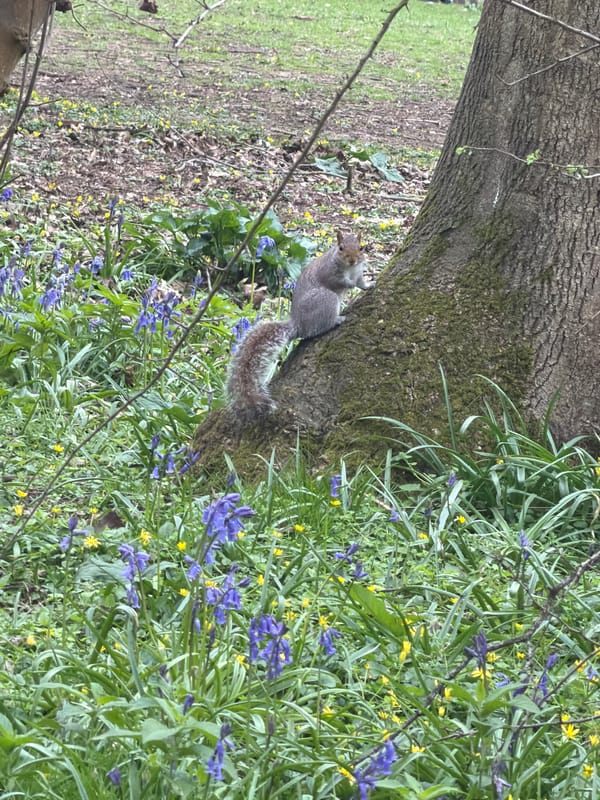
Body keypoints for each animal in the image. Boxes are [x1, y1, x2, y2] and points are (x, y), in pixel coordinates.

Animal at [226, 230, 371, 423]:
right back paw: (337, 320)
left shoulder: (359, 272)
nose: (353, 260)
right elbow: (340, 282)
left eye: (361, 248)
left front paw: (370, 285)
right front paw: (350, 285)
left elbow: (361, 283)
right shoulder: (330, 273)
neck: (350, 269)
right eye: (341, 248)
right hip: (326, 300)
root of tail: (298, 324)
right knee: (320, 327)